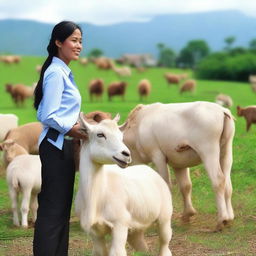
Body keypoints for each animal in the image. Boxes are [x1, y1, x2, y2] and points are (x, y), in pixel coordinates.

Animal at [75, 113, 173, 256]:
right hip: (136, 225)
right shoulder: (95, 232)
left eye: (121, 137)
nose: (126, 154)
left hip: (165, 215)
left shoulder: (120, 223)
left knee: (165, 242)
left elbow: (117, 252)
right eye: (100, 134)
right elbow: (100, 251)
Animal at [121, 101, 235, 230]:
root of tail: (222, 110)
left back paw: (222, 219)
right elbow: (186, 186)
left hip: (208, 151)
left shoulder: (157, 155)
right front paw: (187, 214)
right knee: (228, 184)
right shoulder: (178, 163)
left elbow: (166, 184)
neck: (138, 126)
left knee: (218, 180)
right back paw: (229, 217)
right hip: (226, 152)